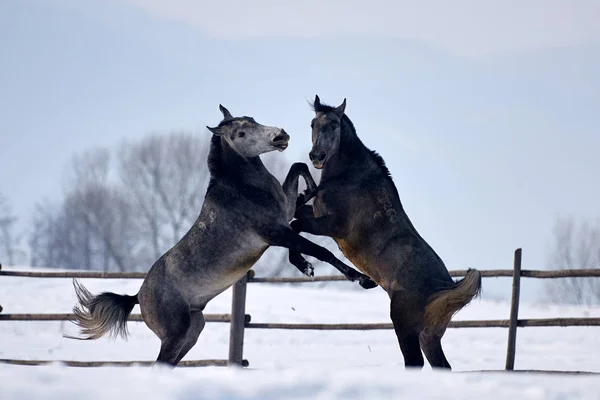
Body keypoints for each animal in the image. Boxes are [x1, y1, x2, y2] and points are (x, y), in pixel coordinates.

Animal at [67, 105, 376, 366]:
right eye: (240, 133)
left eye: (253, 120)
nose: (280, 135)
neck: (243, 189)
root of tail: (137, 296)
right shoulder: (274, 232)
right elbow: (320, 250)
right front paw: (359, 278)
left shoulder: (284, 215)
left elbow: (298, 168)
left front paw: (309, 194)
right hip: (176, 333)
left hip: (193, 331)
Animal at [288, 95, 480, 370]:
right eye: (314, 123)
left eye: (334, 125)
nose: (317, 156)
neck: (350, 177)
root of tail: (446, 287)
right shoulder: (315, 215)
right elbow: (295, 217)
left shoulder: (333, 226)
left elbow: (295, 228)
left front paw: (306, 267)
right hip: (429, 336)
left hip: (403, 324)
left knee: (414, 362)